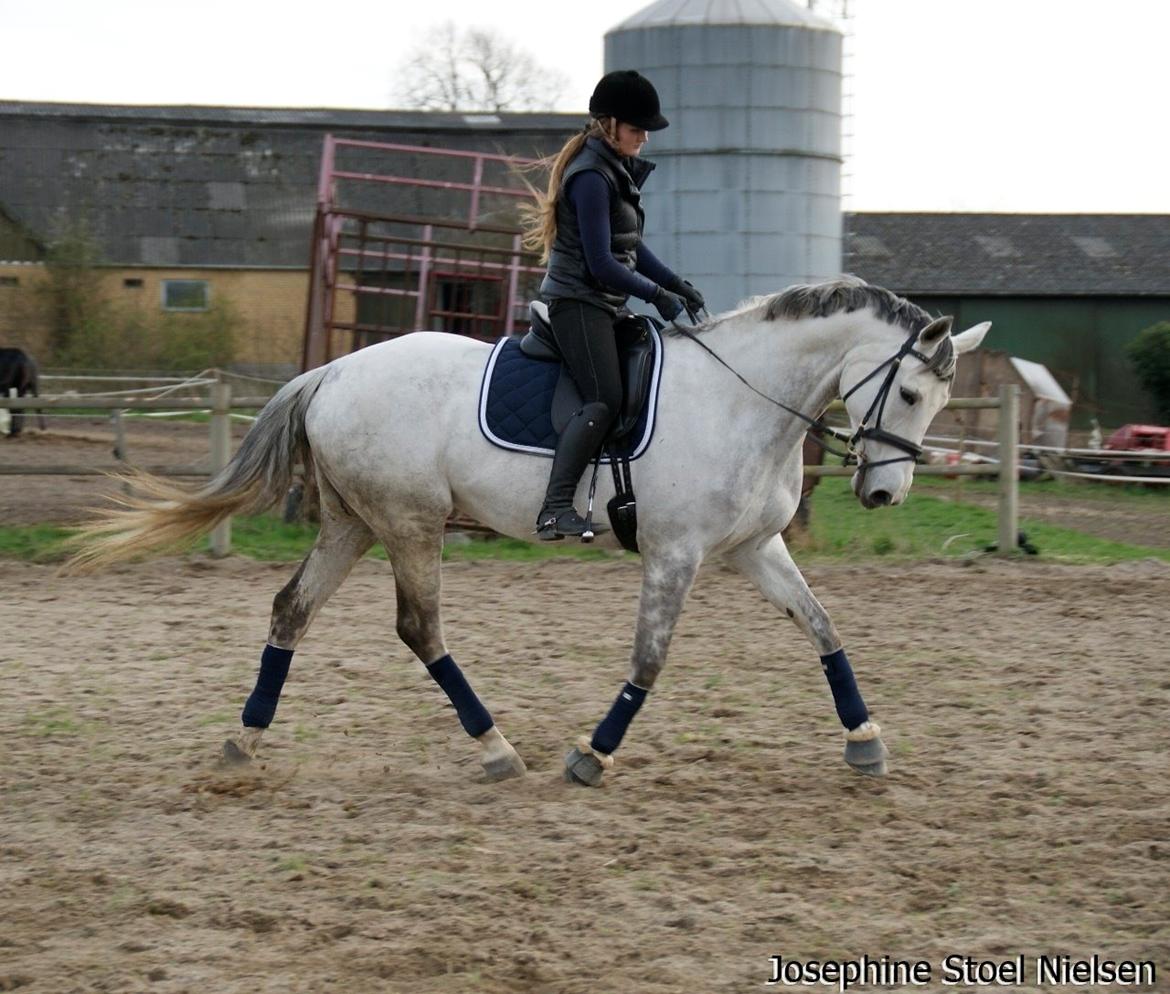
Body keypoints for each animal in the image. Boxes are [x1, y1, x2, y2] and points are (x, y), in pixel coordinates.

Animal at [68, 277, 987, 781]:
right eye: (910, 392)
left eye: (940, 400)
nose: (886, 495)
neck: (743, 399)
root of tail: (331, 371)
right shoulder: (676, 554)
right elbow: (649, 662)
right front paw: (592, 756)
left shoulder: (753, 549)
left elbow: (825, 629)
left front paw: (865, 742)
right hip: (409, 523)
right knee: (420, 627)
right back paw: (495, 748)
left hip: (352, 522)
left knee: (292, 610)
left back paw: (243, 739)